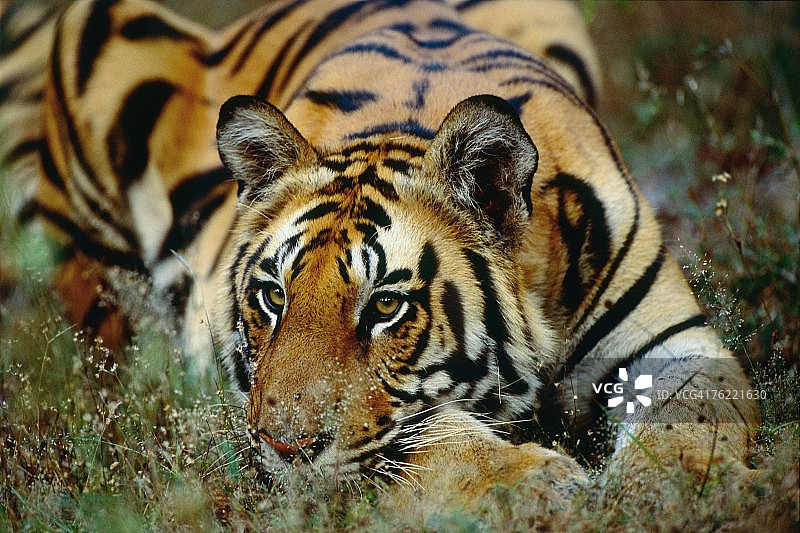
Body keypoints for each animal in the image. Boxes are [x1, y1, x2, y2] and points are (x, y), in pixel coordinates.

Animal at [0, 0, 759, 510]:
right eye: (274, 296)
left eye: (386, 306)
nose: (281, 450)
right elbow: (433, 437)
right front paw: (535, 485)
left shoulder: (674, 343)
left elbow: (689, 423)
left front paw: (678, 491)